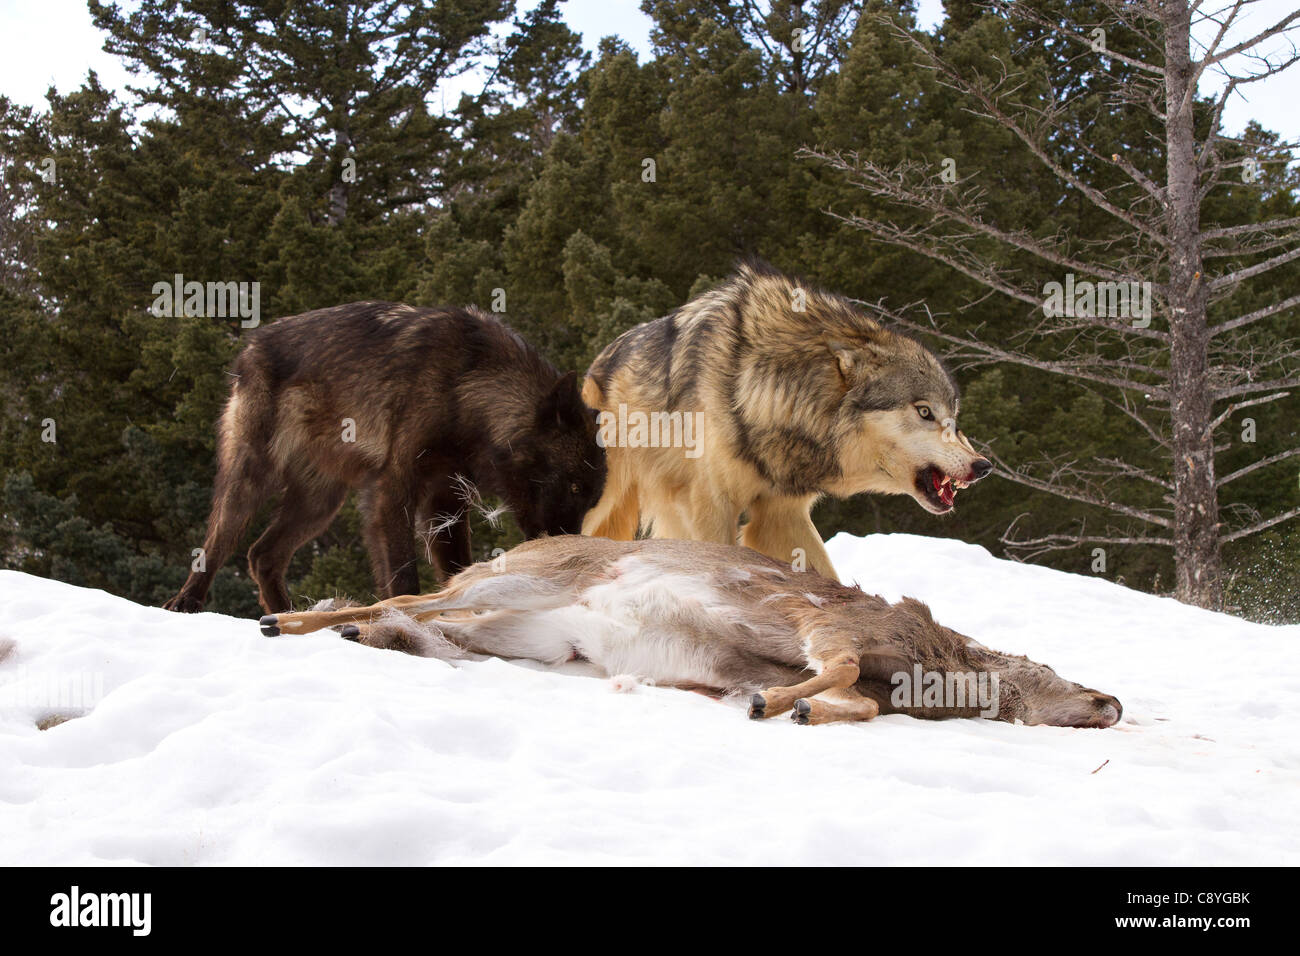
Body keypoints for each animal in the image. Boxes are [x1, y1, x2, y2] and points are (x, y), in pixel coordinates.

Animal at [165, 302, 606, 615]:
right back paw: (186, 603)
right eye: (572, 485)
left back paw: (284, 615)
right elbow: (403, 573)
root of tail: (251, 346)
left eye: (589, 498)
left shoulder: (445, 501)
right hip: (252, 478)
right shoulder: (393, 490)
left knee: (262, 555)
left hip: (319, 504)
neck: (467, 388)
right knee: (218, 544)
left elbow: (457, 570)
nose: (568, 545)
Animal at [579, 262, 992, 580]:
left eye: (954, 418)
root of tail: (596, 363)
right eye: (924, 411)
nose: (983, 465)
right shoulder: (712, 506)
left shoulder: (781, 514)